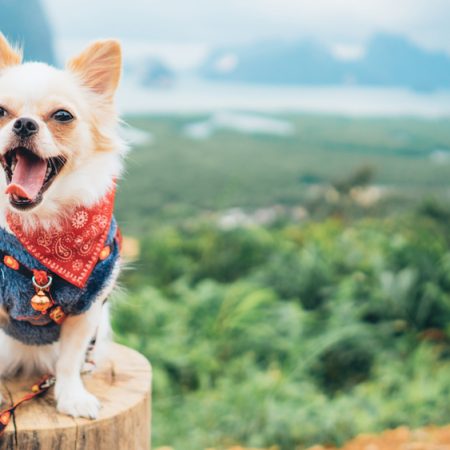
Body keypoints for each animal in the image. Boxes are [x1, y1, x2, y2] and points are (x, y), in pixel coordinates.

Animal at [0, 34, 125, 418]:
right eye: (1, 112)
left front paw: (71, 397)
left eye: (62, 116)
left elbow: (69, 360)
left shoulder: (88, 307)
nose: (24, 124)